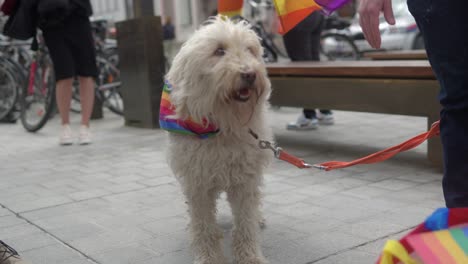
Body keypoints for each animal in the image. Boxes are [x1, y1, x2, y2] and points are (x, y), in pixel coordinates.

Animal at [163, 16, 274, 264]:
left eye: (250, 50)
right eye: (219, 51)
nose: (250, 74)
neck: (223, 128)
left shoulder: (244, 181)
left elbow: (245, 222)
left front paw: (249, 256)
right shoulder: (198, 183)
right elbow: (203, 224)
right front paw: (208, 256)